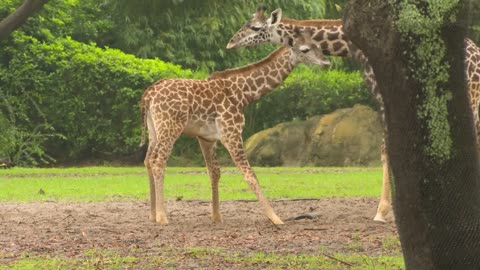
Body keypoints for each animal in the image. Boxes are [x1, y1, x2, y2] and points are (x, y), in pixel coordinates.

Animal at [226, 7, 480, 224]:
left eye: (255, 27)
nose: (230, 43)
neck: (354, 47)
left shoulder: (383, 94)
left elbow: (387, 149)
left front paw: (382, 212)